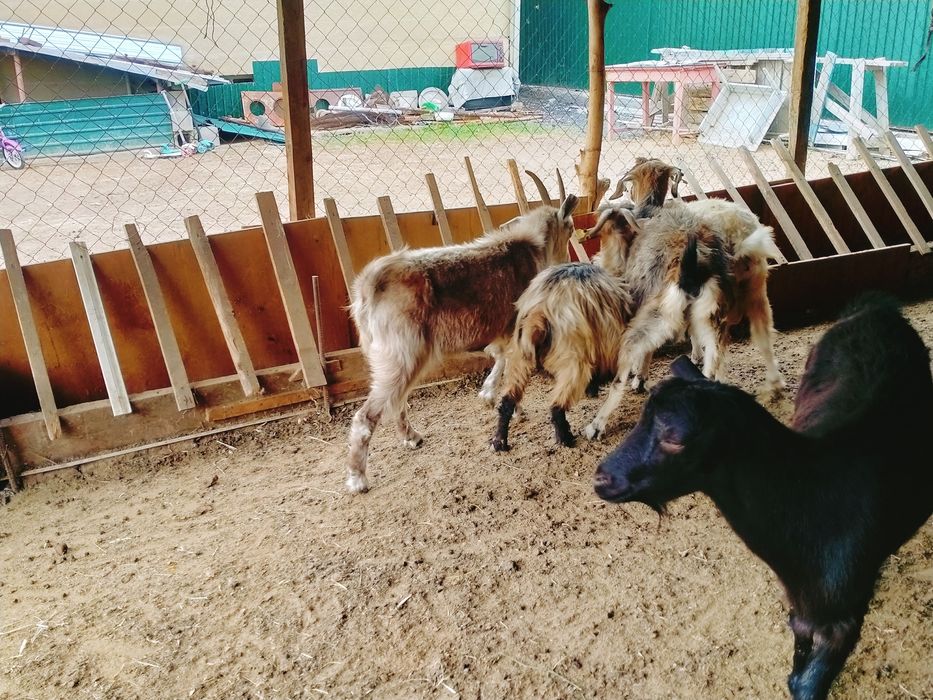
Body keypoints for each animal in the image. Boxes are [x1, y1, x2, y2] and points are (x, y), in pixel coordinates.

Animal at [345, 194, 579, 493]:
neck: (533, 248)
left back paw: (411, 437)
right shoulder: (516, 328)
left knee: (396, 400)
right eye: (569, 228)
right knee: (367, 415)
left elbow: (500, 358)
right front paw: (506, 404)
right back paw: (358, 478)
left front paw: (492, 397)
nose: (566, 261)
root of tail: (369, 285)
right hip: (402, 354)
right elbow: (508, 364)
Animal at [491, 208, 639, 451]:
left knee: (506, 402)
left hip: (519, 359)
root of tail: (539, 312)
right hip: (573, 363)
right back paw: (566, 438)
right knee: (556, 406)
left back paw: (499, 441)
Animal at [579, 196, 784, 440]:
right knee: (755, 341)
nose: (598, 262)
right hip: (746, 299)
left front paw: (640, 378)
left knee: (621, 374)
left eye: (604, 234)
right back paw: (771, 387)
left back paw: (596, 425)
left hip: (654, 320)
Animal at [593, 295, 933, 700]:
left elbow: (806, 685)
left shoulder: (842, 621)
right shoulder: (802, 613)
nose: (602, 477)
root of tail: (875, 307)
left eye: (675, 437)